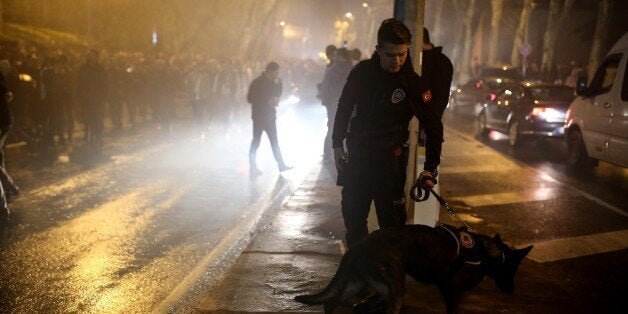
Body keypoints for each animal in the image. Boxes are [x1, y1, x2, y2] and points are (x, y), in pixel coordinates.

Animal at [296, 224, 532, 314]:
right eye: (514, 269)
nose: (512, 290)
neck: (488, 254)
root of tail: (358, 246)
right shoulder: (451, 290)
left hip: (356, 282)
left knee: (331, 302)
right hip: (395, 286)